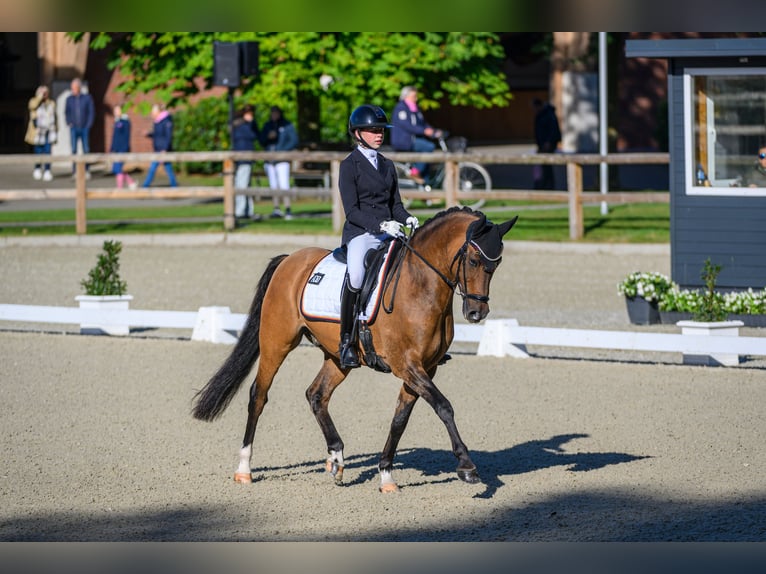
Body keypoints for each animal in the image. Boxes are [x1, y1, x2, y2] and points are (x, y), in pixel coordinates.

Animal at [192, 207, 520, 496]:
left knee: (316, 395)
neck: (420, 286)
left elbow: (400, 419)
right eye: (474, 260)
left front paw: (386, 475)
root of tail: (289, 260)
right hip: (276, 342)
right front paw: (466, 466)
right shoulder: (407, 365)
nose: (477, 313)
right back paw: (244, 469)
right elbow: (444, 406)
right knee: (258, 395)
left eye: (496, 264)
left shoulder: (425, 367)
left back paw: (336, 459)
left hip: (338, 358)